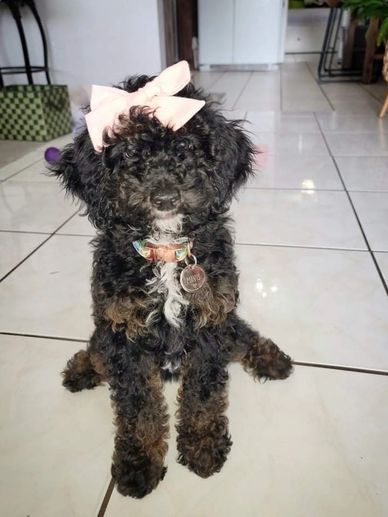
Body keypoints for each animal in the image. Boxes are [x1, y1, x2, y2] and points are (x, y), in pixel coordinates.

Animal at [52, 71, 294, 496]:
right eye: (129, 152)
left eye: (185, 146)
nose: (164, 196)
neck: (165, 253)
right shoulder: (123, 332)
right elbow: (137, 407)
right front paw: (138, 463)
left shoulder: (210, 323)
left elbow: (203, 394)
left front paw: (203, 446)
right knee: (96, 347)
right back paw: (83, 368)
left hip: (227, 321)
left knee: (243, 335)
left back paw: (273, 359)